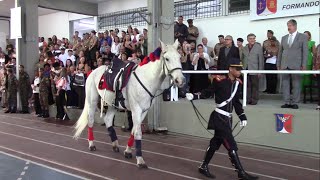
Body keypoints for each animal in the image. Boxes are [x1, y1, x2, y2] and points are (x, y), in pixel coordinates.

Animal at [72, 39, 182, 167]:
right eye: (167, 59)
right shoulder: (136, 110)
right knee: (90, 120)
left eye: (179, 57)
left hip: (112, 104)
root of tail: (93, 71)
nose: (181, 80)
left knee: (108, 120)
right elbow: (138, 132)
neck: (146, 79)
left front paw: (128, 151)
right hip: (92, 100)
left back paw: (115, 145)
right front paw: (140, 160)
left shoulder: (143, 111)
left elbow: (134, 130)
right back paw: (91, 144)